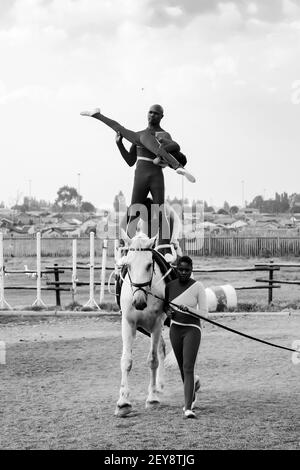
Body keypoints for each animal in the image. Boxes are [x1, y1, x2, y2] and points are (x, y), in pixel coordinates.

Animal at [116, 229, 170, 416]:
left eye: (148, 265)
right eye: (128, 265)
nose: (138, 302)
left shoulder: (156, 324)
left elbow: (152, 360)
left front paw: (152, 398)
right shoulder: (128, 324)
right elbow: (126, 361)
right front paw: (123, 402)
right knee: (162, 348)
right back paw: (159, 385)